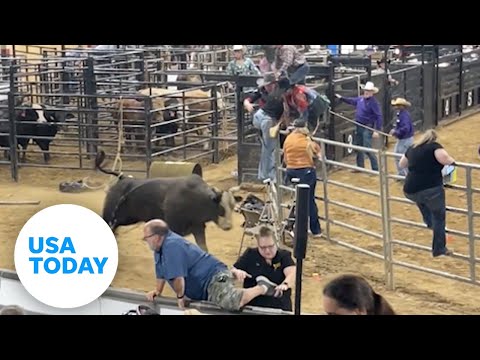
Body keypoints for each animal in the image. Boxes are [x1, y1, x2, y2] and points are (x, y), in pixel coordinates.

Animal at [94, 150, 244, 252]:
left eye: (232, 207)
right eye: (221, 208)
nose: (228, 226)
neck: (195, 199)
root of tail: (123, 177)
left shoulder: (198, 228)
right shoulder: (175, 228)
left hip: (126, 218)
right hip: (111, 215)